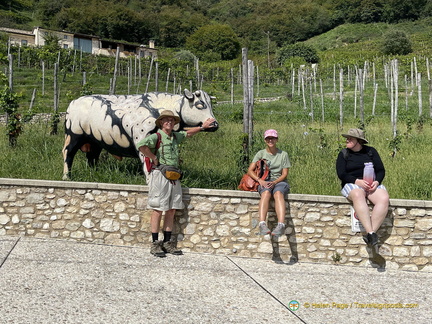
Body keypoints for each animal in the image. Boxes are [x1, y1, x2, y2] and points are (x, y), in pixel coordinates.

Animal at [62, 88, 218, 180]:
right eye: (199, 105)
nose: (214, 124)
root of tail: (73, 102)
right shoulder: (141, 138)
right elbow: (147, 163)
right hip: (73, 135)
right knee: (68, 153)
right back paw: (66, 177)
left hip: (94, 141)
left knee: (92, 157)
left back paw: (93, 174)